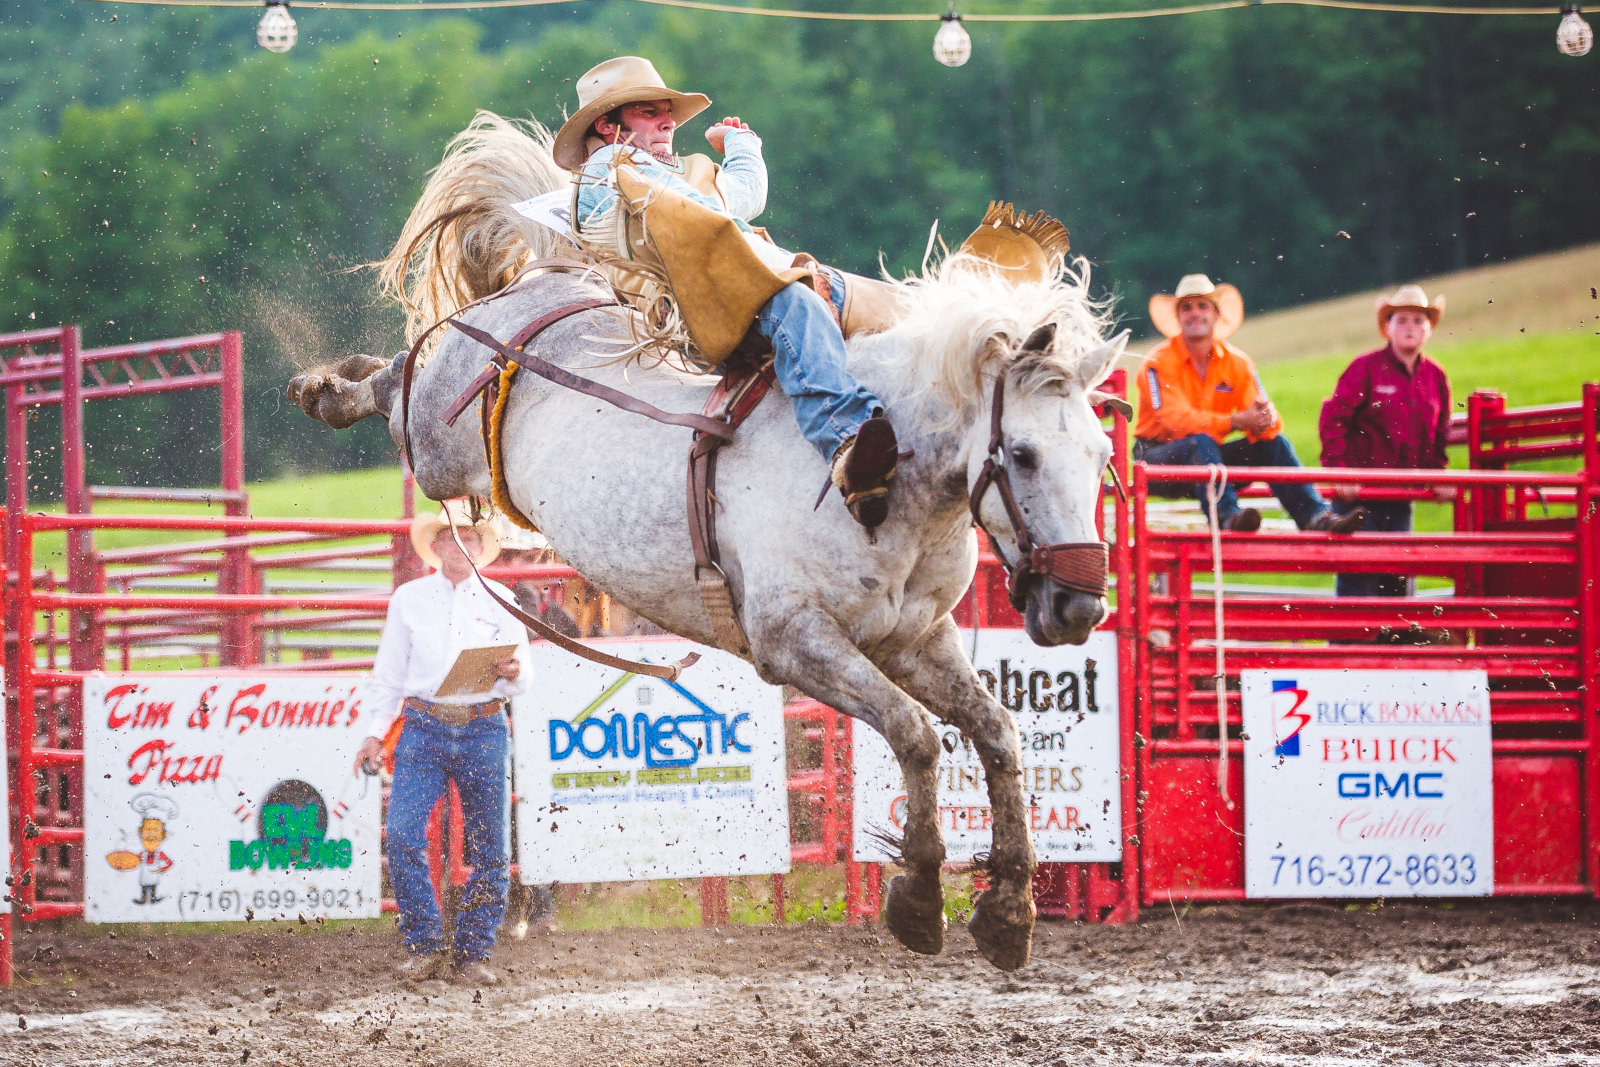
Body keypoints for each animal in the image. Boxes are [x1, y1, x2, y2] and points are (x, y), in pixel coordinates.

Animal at [291, 112, 1126, 972]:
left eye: (1101, 455)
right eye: (1022, 454)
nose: (1078, 604)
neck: (882, 470)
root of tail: (553, 275)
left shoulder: (915, 639)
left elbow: (996, 732)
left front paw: (1010, 909)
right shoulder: (794, 641)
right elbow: (917, 735)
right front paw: (921, 899)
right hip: (433, 437)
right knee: (398, 379)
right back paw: (327, 387)